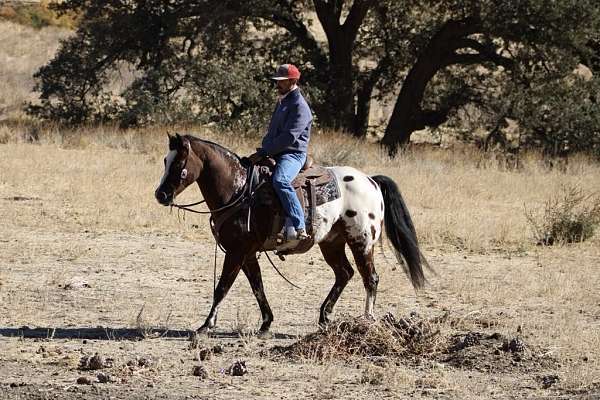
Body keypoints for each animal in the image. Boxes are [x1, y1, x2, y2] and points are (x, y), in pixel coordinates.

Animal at [155, 134, 426, 334]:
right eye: (165, 161)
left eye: (178, 164)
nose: (160, 195)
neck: (239, 190)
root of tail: (371, 180)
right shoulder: (248, 253)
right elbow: (257, 285)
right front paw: (266, 323)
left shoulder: (236, 252)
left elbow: (222, 286)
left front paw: (206, 325)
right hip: (331, 243)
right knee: (344, 273)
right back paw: (324, 316)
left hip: (361, 241)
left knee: (370, 278)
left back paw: (366, 321)